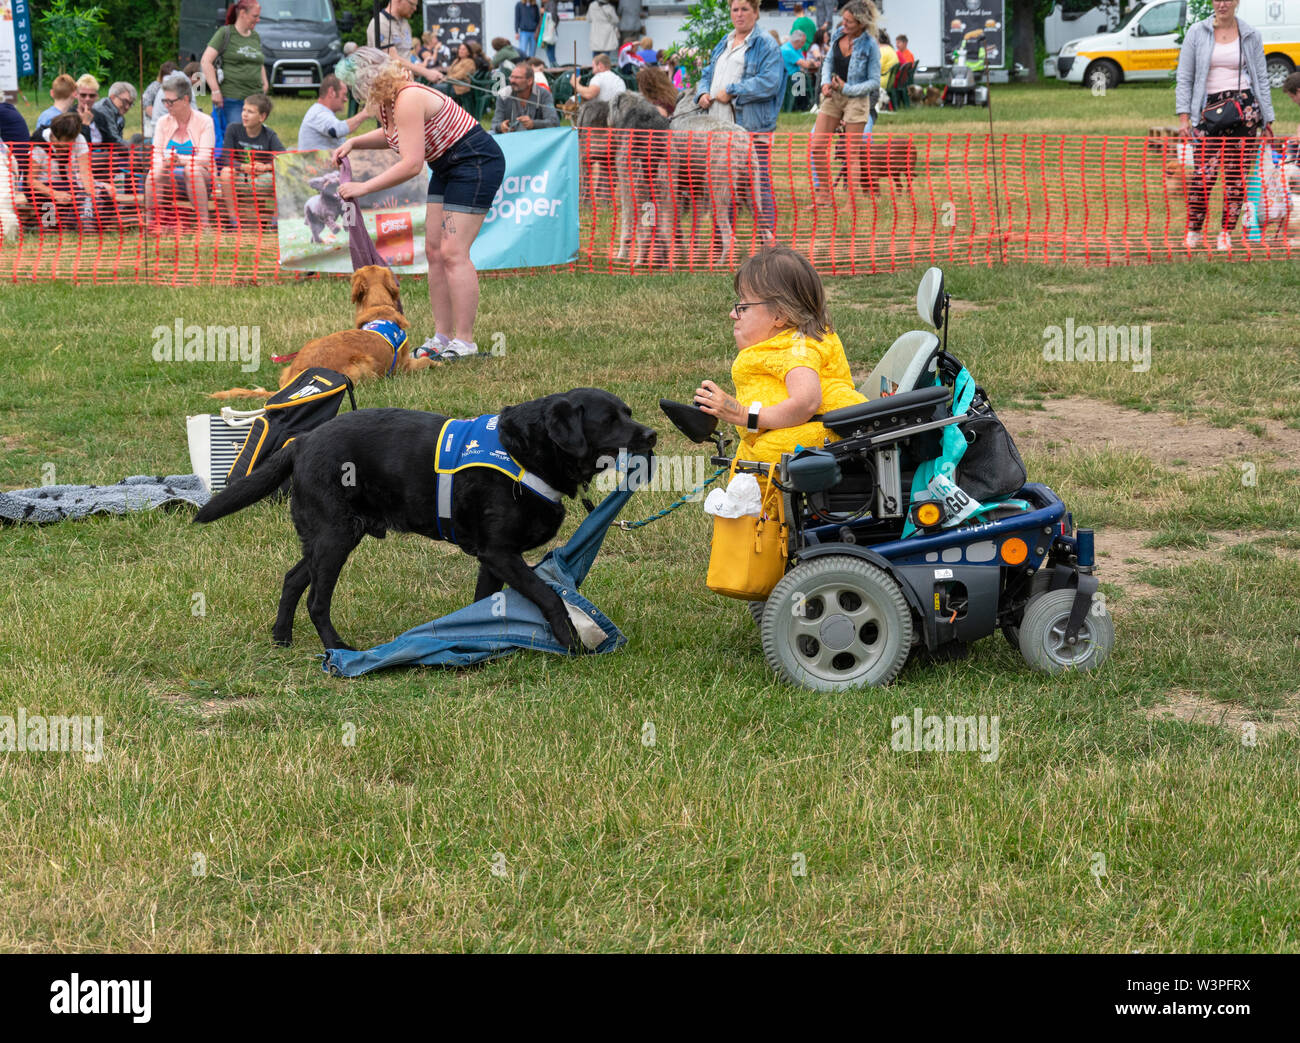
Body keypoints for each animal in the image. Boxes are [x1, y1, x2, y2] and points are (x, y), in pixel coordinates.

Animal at [192, 390, 655, 650]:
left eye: (629, 412)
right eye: (608, 420)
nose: (651, 434)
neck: (525, 451)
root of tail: (302, 440)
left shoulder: (491, 560)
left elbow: (482, 604)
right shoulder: (500, 553)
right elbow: (548, 596)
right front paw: (569, 639)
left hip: (331, 537)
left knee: (292, 579)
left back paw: (282, 638)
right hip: (335, 537)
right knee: (316, 600)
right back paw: (337, 648)